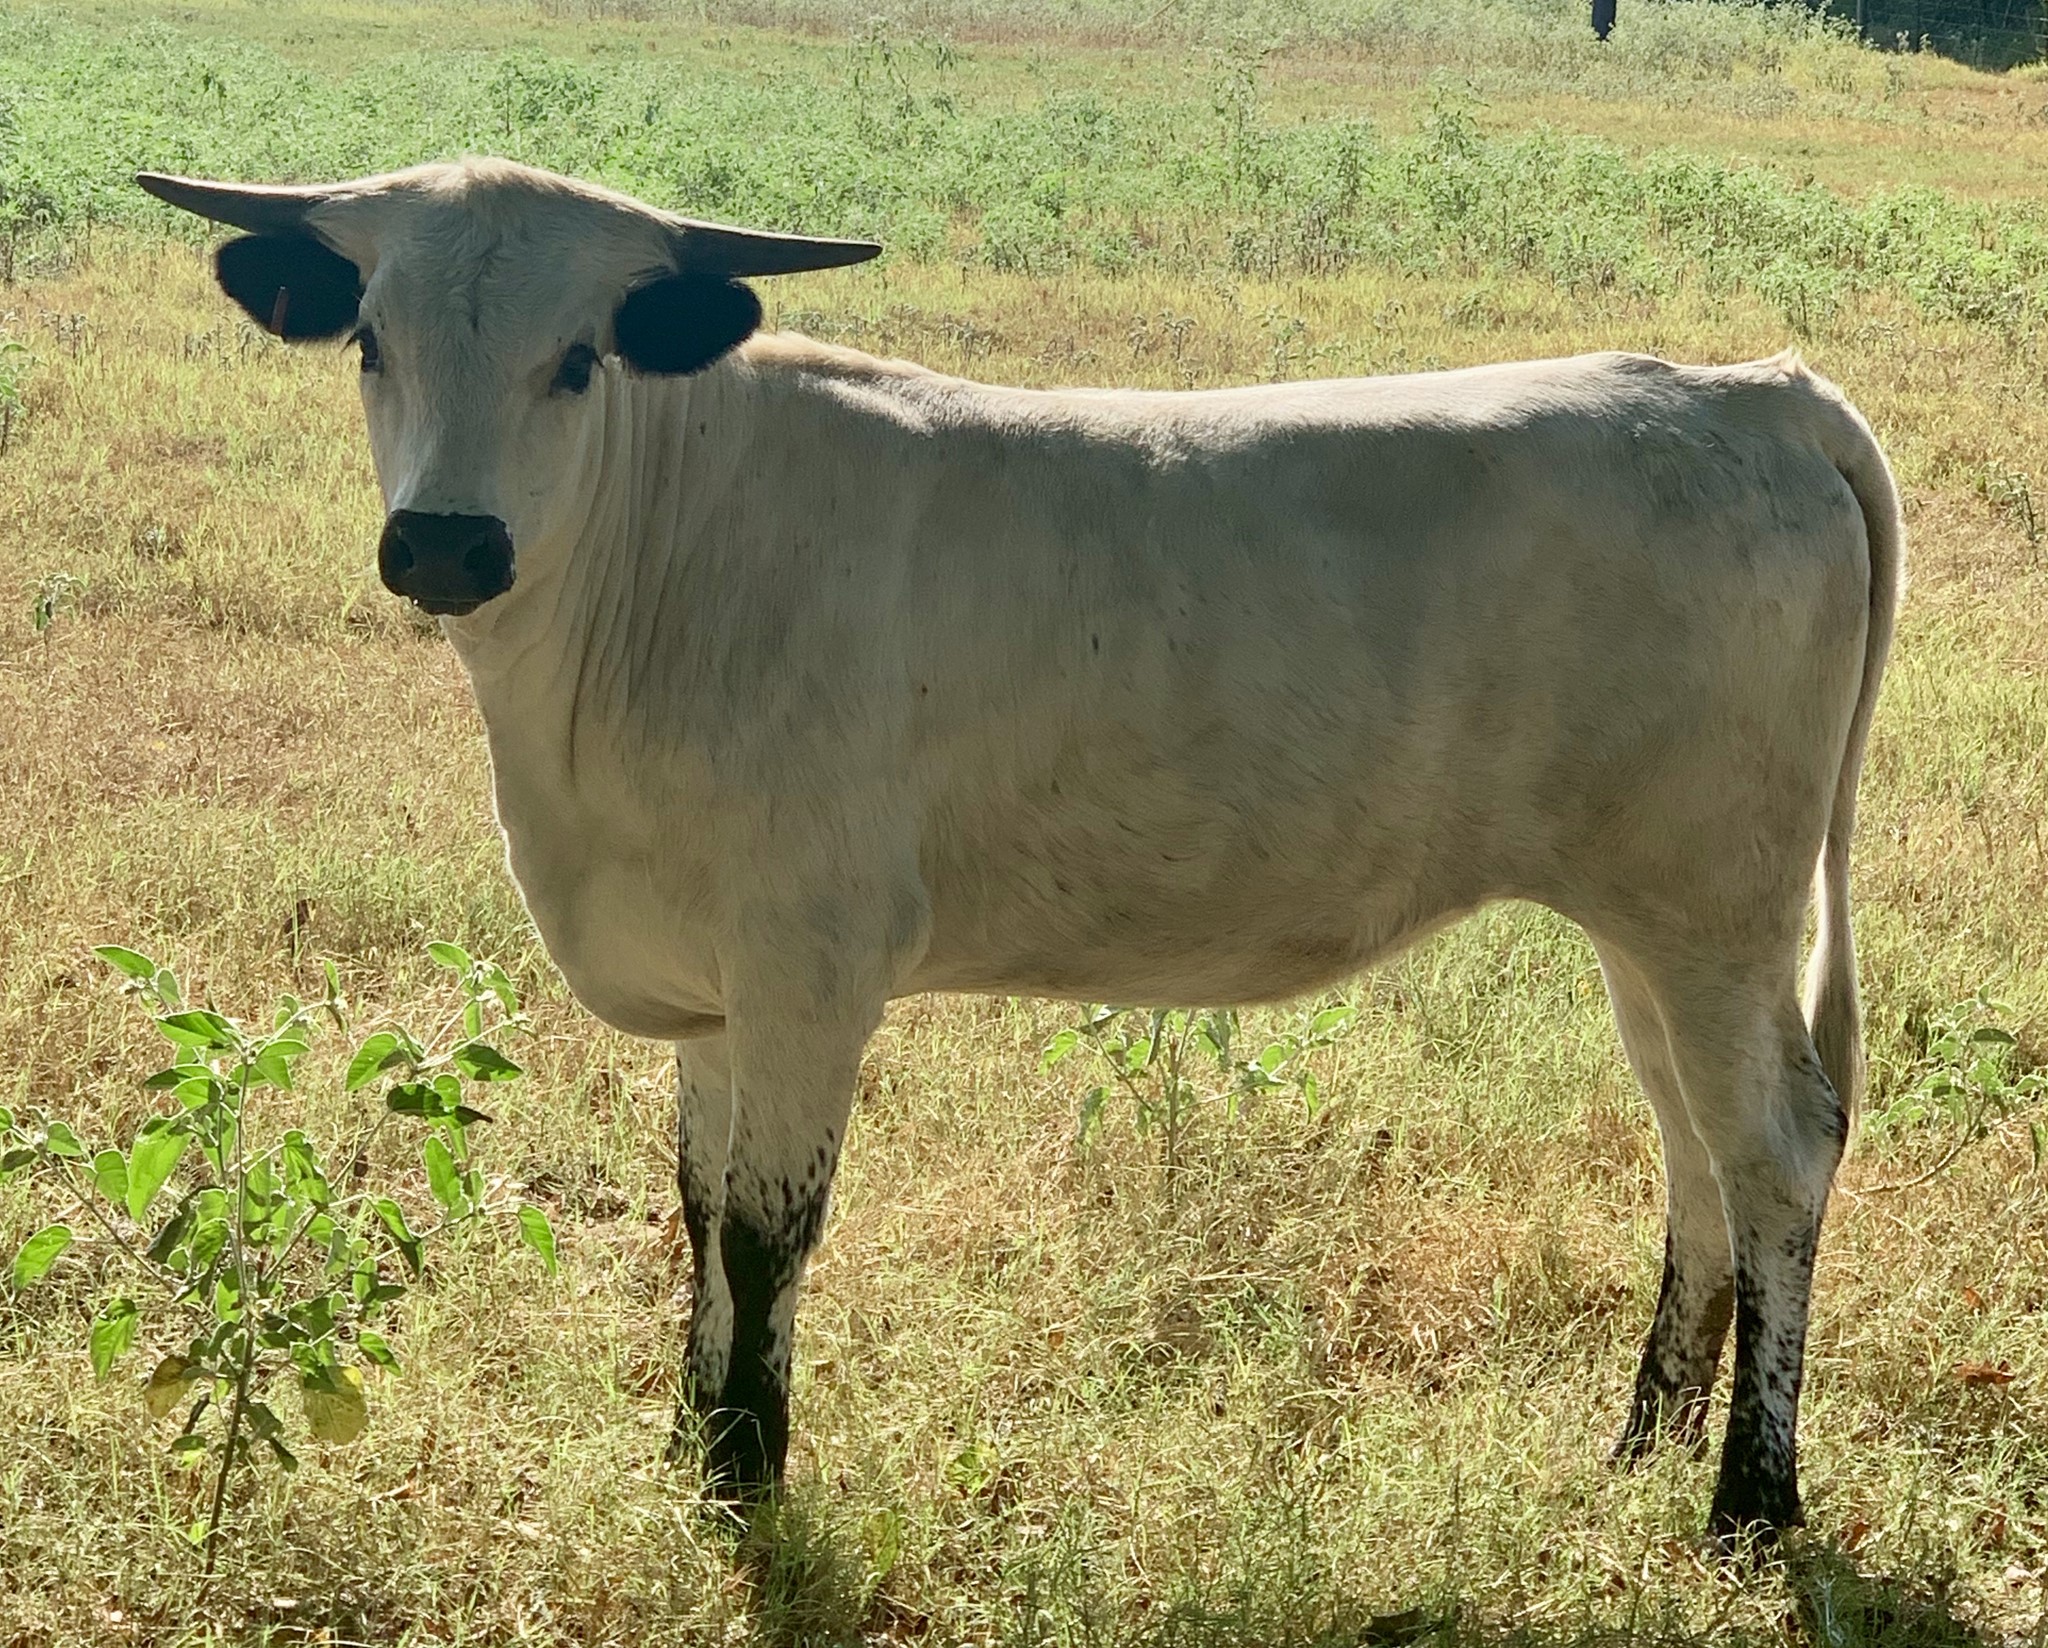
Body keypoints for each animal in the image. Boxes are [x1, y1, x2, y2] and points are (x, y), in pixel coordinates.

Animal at [138, 158, 1901, 1542]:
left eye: (579, 359)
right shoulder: (715, 985)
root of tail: (1749, 390)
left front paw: (746, 1485)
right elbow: (700, 1211)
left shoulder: (812, 962)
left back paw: (1750, 1504)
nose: (446, 542)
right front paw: (686, 1445)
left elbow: (771, 1230)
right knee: (1691, 1154)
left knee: (1774, 1154)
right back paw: (1639, 1447)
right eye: (372, 340)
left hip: (1717, 906)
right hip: (1650, 924)